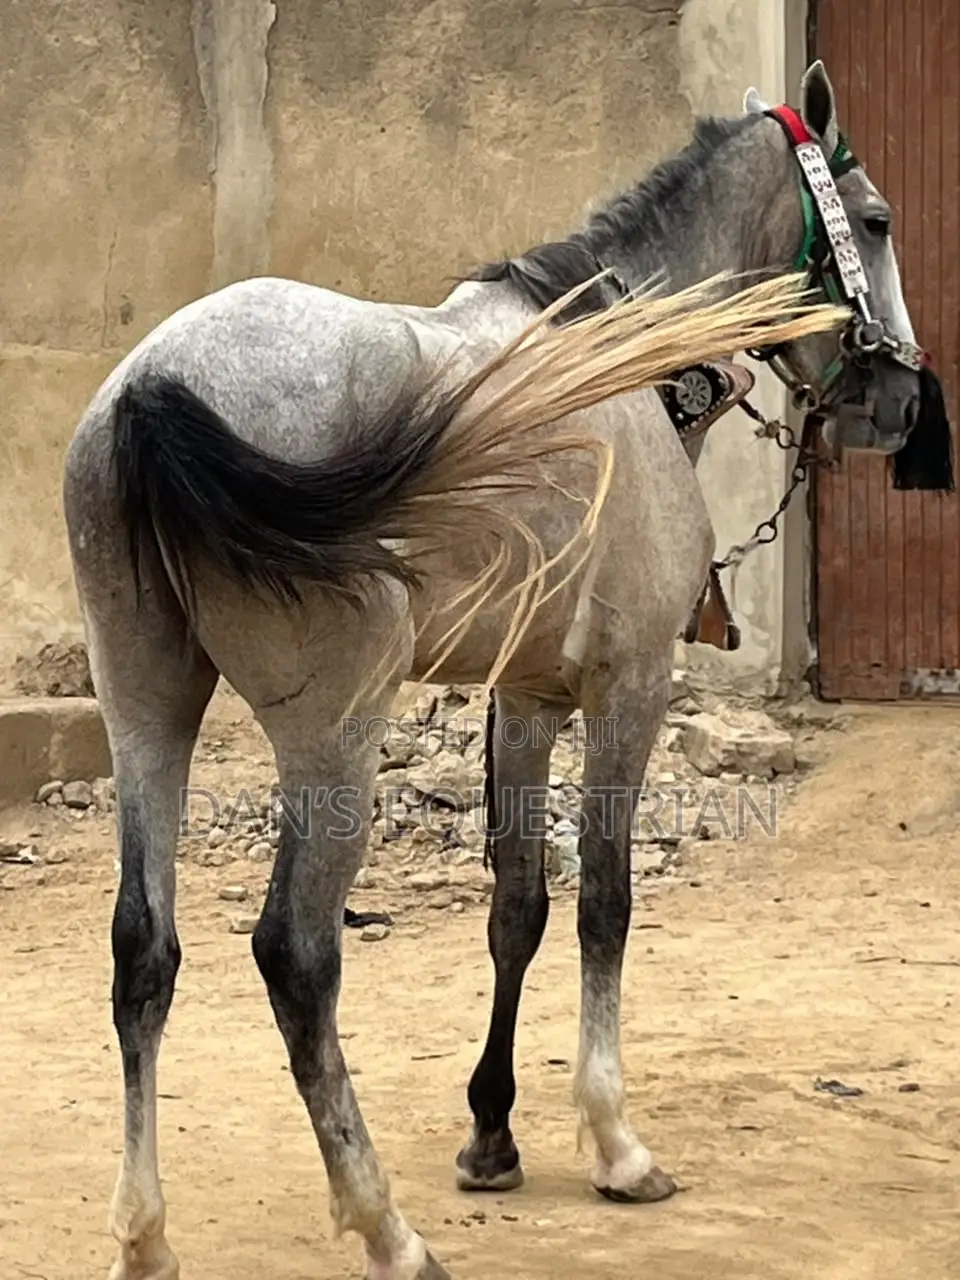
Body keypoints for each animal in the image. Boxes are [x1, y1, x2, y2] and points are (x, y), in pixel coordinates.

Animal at [62, 59, 952, 1280]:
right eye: (877, 223)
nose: (901, 405)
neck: (618, 357)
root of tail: (157, 388)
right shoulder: (628, 688)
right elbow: (605, 904)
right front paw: (615, 1143)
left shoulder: (526, 696)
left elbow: (517, 904)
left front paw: (492, 1132)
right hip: (333, 731)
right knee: (297, 956)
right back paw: (386, 1227)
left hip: (147, 703)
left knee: (142, 952)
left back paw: (145, 1236)